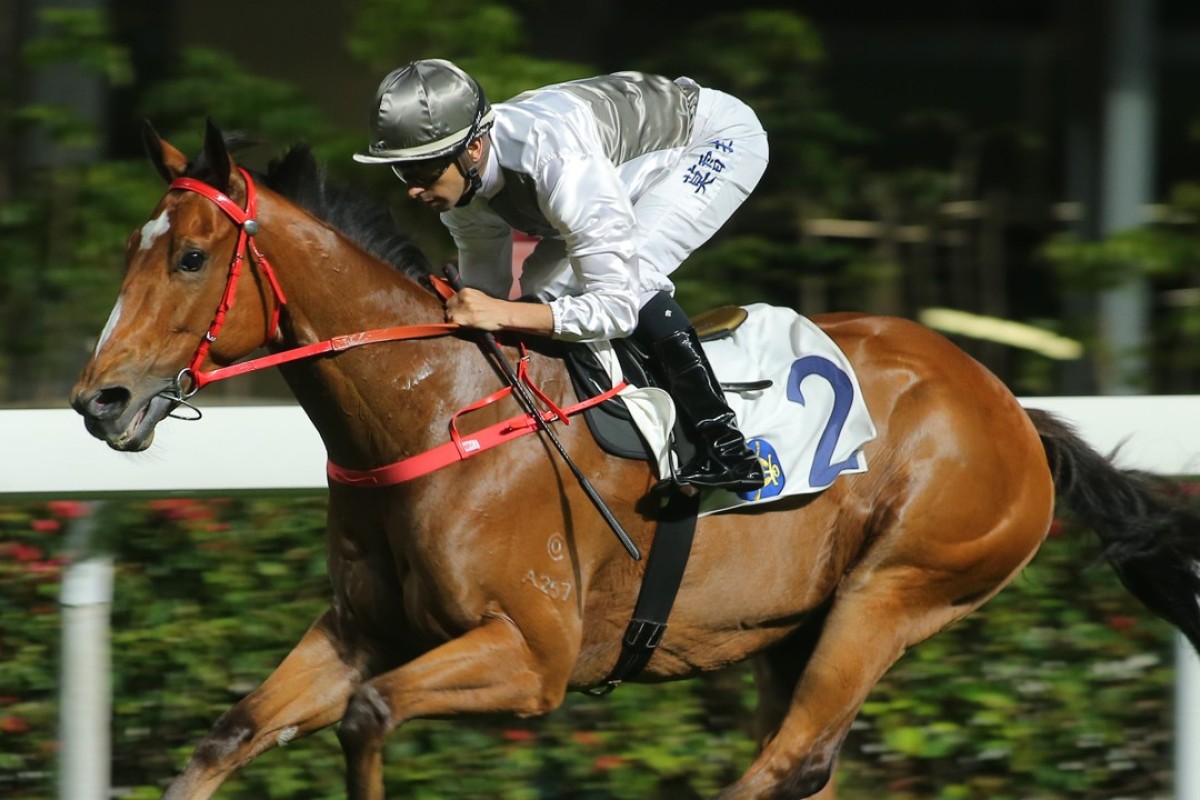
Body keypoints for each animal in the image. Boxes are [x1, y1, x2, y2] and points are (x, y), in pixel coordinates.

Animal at [68, 120, 1200, 800]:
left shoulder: (532, 654)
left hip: (898, 591)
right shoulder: (359, 628)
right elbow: (230, 733)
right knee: (807, 764)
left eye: (190, 257)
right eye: (131, 251)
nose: (97, 400)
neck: (428, 410)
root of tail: (1009, 407)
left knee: (789, 760)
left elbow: (369, 713)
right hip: (797, 627)